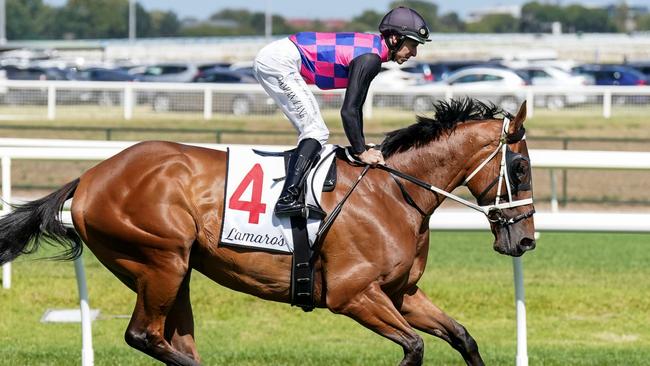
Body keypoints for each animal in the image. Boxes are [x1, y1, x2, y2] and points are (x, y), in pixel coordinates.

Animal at [0, 98, 536, 366]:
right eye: (522, 167)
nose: (526, 240)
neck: (395, 192)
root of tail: (90, 175)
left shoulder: (401, 292)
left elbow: (462, 337)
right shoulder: (353, 295)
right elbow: (414, 348)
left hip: (177, 271)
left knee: (173, 340)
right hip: (159, 260)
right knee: (144, 336)